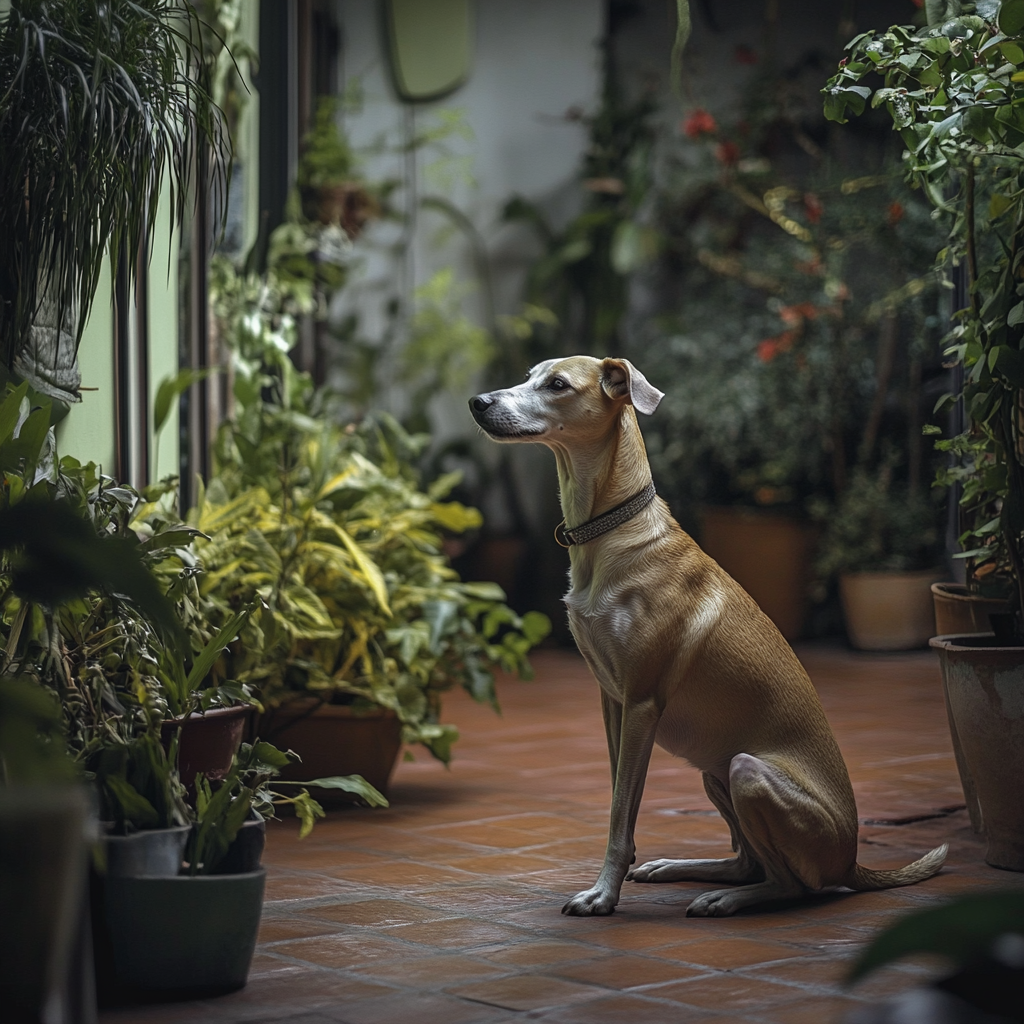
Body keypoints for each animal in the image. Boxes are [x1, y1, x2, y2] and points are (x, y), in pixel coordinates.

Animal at [468, 356, 946, 917]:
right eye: (529, 375)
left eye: (557, 384)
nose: (477, 402)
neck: (610, 533)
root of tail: (852, 858)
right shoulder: (612, 700)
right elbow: (617, 799)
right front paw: (618, 878)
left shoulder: (642, 704)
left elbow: (621, 814)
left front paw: (603, 895)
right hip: (714, 771)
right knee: (748, 861)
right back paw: (681, 869)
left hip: (746, 772)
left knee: (793, 885)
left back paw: (726, 900)